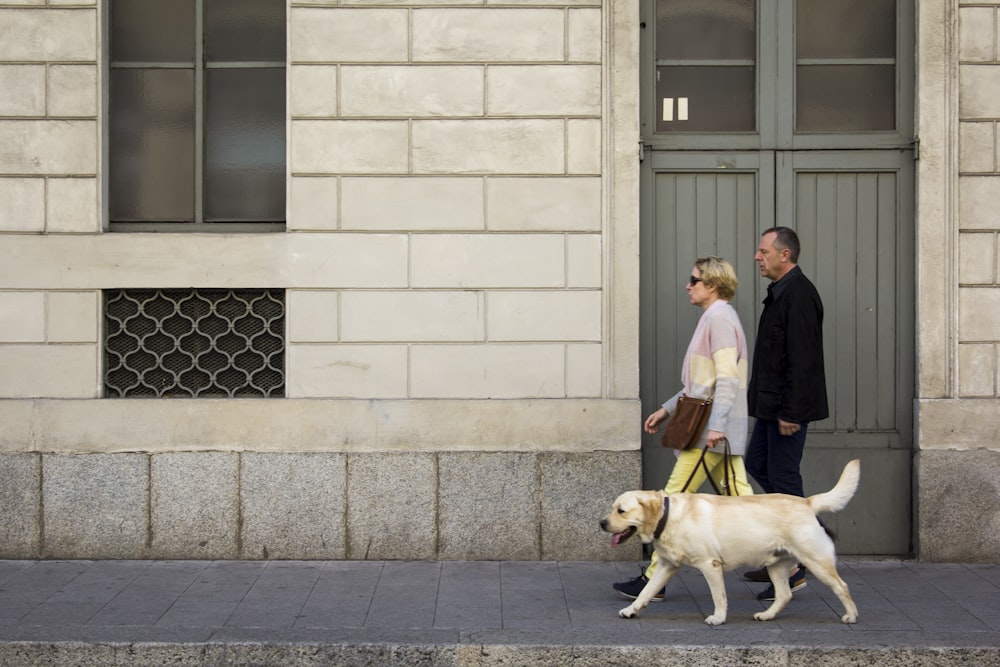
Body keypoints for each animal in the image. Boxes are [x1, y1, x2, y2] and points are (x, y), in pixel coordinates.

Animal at [600, 460, 860, 628]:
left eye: (621, 511)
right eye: (612, 508)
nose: (602, 522)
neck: (668, 516)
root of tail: (807, 502)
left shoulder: (710, 565)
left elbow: (719, 597)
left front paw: (718, 618)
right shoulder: (667, 566)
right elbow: (646, 591)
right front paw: (632, 610)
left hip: (816, 560)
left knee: (842, 586)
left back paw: (851, 615)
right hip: (776, 564)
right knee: (784, 595)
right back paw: (767, 615)